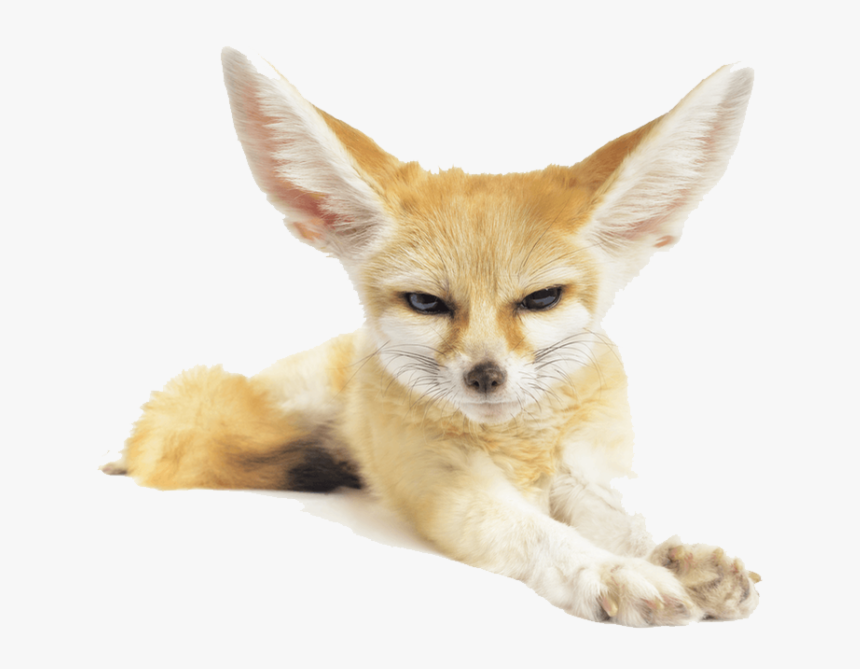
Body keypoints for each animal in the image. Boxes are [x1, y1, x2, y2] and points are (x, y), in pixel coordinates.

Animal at [102, 47, 760, 626]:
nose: (485, 377)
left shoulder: (579, 468)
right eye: (426, 303)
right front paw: (610, 571)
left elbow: (617, 521)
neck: (516, 448)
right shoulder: (447, 484)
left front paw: (678, 560)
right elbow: (536, 532)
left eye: (541, 299)